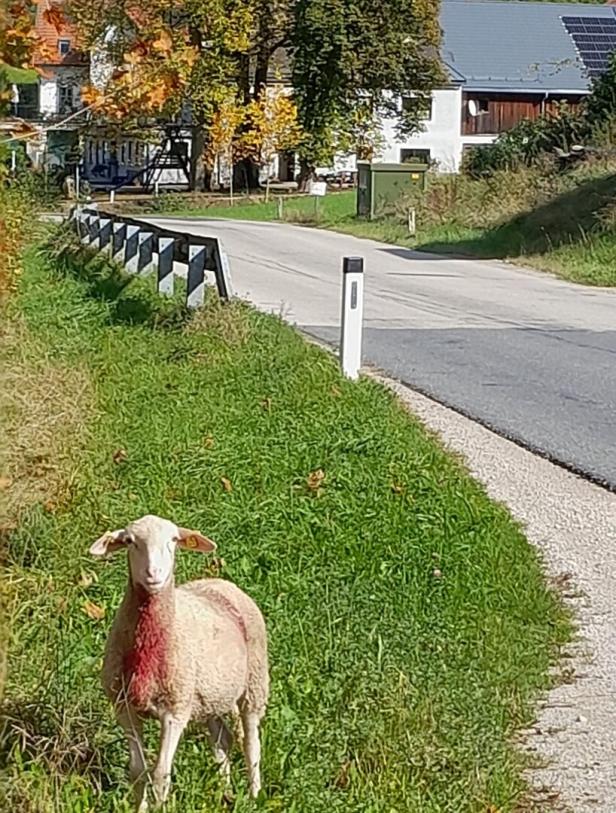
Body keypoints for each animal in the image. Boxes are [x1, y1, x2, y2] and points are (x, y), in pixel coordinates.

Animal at [89, 516, 270, 808]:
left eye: (173, 540)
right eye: (129, 541)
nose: (153, 574)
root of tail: (220, 581)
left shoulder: (174, 711)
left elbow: (161, 774)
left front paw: (159, 806)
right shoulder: (123, 706)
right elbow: (137, 772)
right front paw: (139, 809)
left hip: (254, 684)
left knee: (251, 744)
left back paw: (254, 795)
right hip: (208, 695)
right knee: (223, 740)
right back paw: (223, 793)